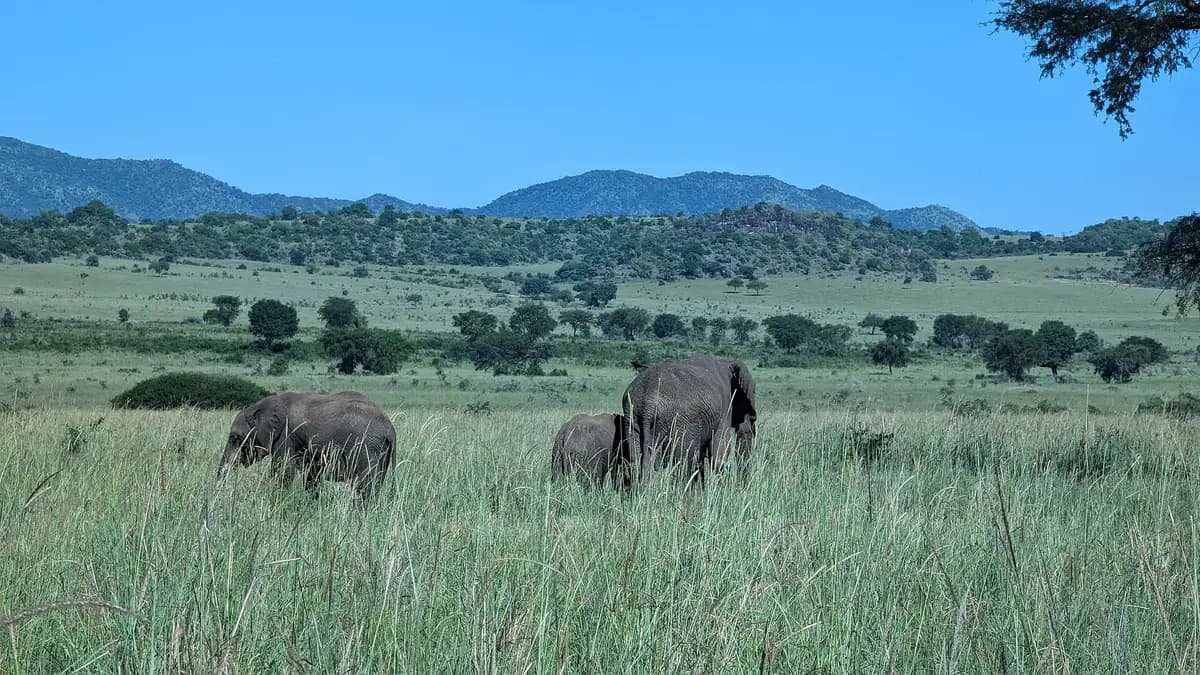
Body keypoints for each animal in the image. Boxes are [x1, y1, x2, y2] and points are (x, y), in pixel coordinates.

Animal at [217, 391, 396, 506]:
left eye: (235, 438)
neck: (261, 407)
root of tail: (390, 429)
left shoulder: (286, 435)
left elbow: (284, 471)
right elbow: (311, 476)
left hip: (367, 448)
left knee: (366, 485)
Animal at [619, 355, 757, 489]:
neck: (727, 362)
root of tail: (647, 404)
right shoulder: (724, 407)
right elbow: (718, 455)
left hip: (632, 418)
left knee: (635, 458)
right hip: (683, 423)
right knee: (683, 463)